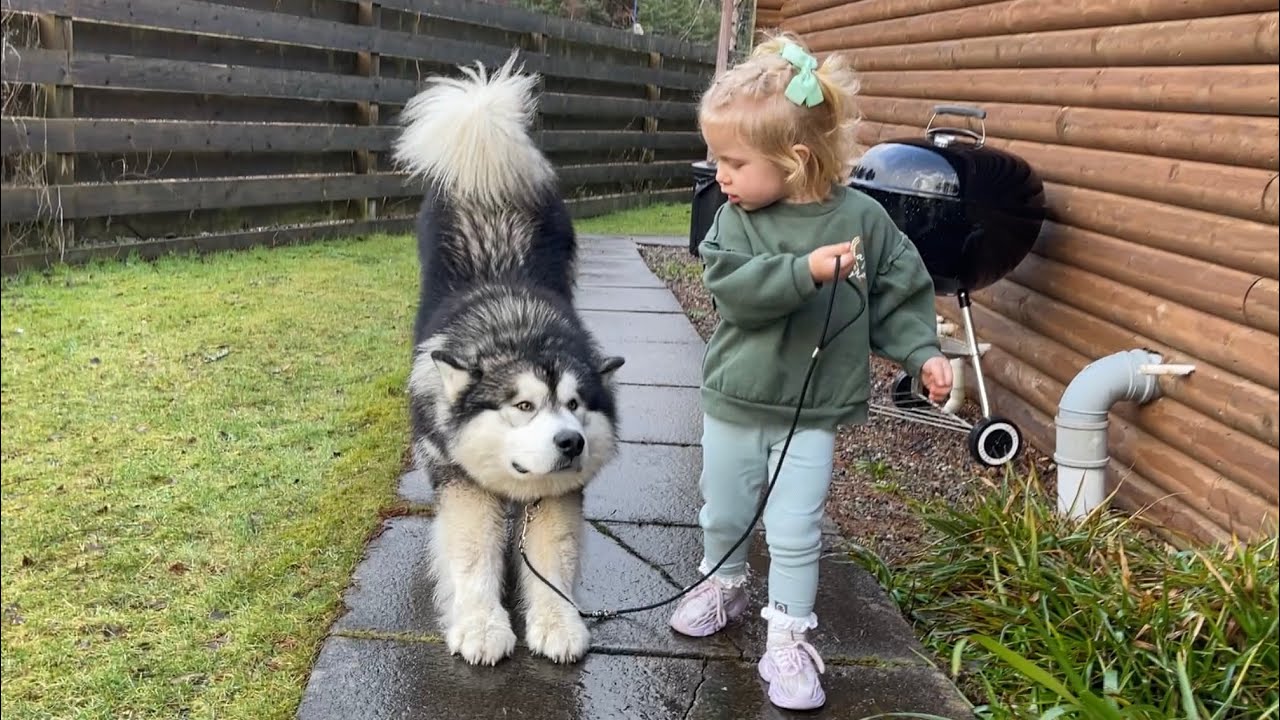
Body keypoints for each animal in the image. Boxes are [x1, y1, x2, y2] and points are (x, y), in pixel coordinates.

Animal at [394, 53, 624, 666]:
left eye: (575, 404)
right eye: (522, 405)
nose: (571, 443)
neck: (518, 328)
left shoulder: (556, 494)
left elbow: (550, 557)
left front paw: (557, 620)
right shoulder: (463, 481)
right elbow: (473, 552)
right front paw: (480, 623)